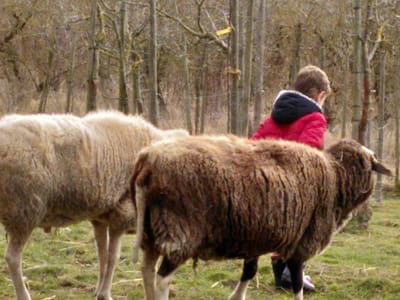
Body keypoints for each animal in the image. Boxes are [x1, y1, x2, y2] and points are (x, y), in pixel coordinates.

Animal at [0, 110, 189, 300]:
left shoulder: (100, 218)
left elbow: (102, 255)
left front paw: (99, 289)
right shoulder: (121, 213)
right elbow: (113, 257)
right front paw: (105, 293)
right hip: (24, 210)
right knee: (12, 258)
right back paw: (23, 294)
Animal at [130, 135, 390, 300]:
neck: (337, 176)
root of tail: (148, 160)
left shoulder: (253, 236)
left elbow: (250, 271)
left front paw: (236, 296)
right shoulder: (302, 241)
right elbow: (297, 281)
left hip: (152, 228)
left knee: (146, 270)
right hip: (180, 229)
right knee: (161, 279)